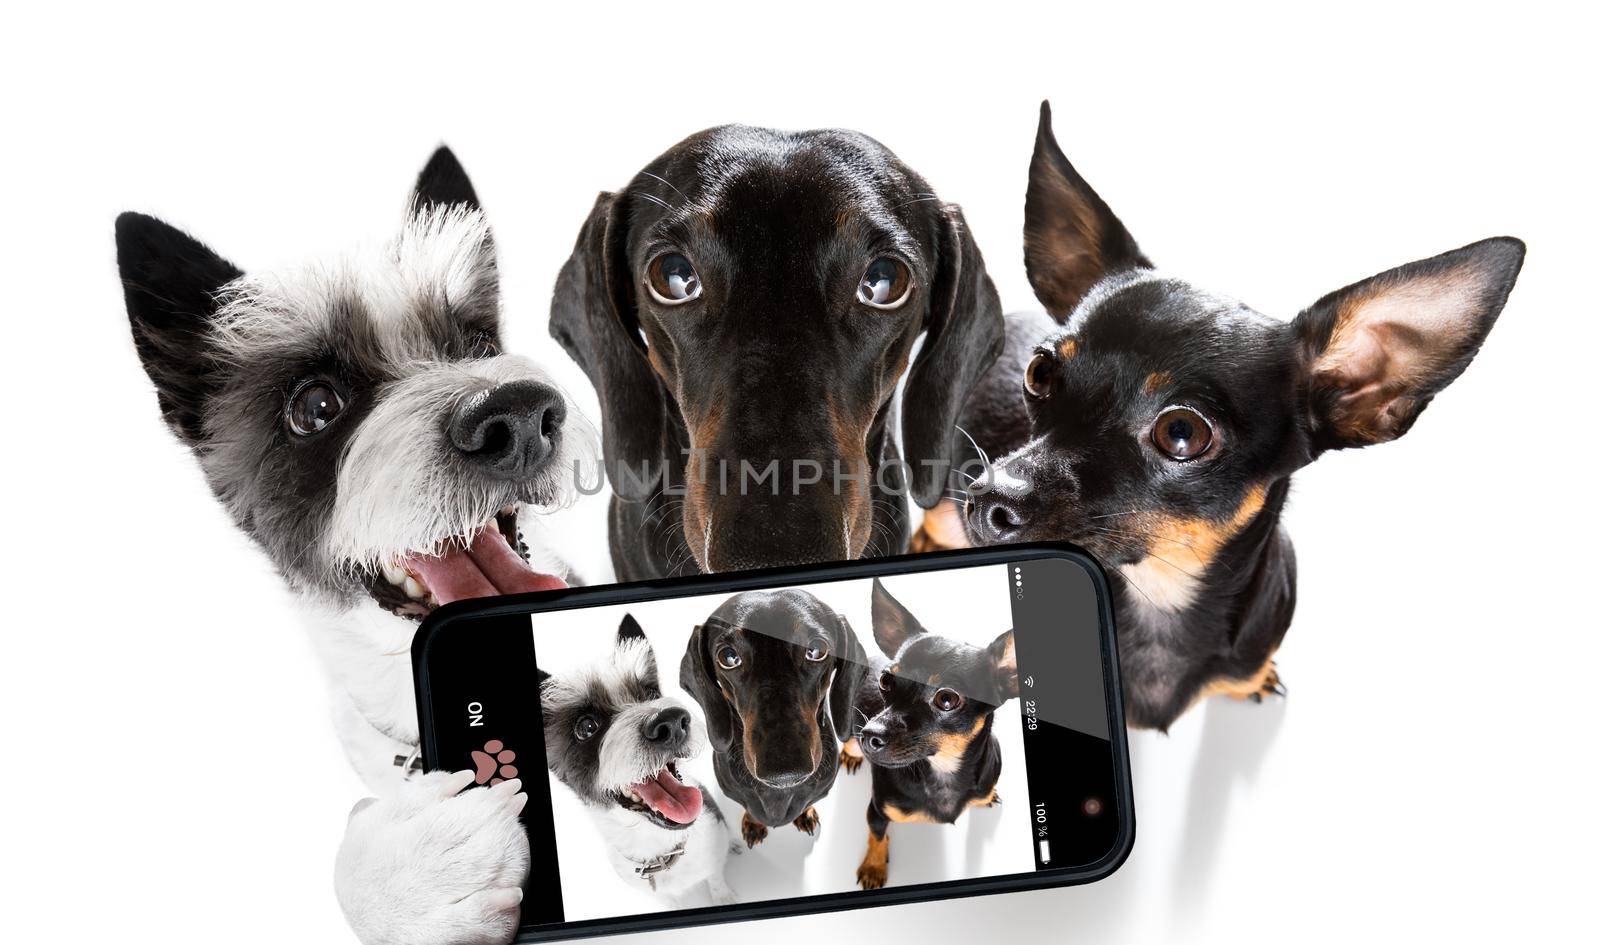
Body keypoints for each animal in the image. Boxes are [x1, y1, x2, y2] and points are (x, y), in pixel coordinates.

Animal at [844, 582, 1017, 889]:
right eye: (886, 680)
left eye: (946, 699)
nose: (869, 734)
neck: (942, 771)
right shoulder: (876, 812)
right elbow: (876, 837)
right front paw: (874, 866)